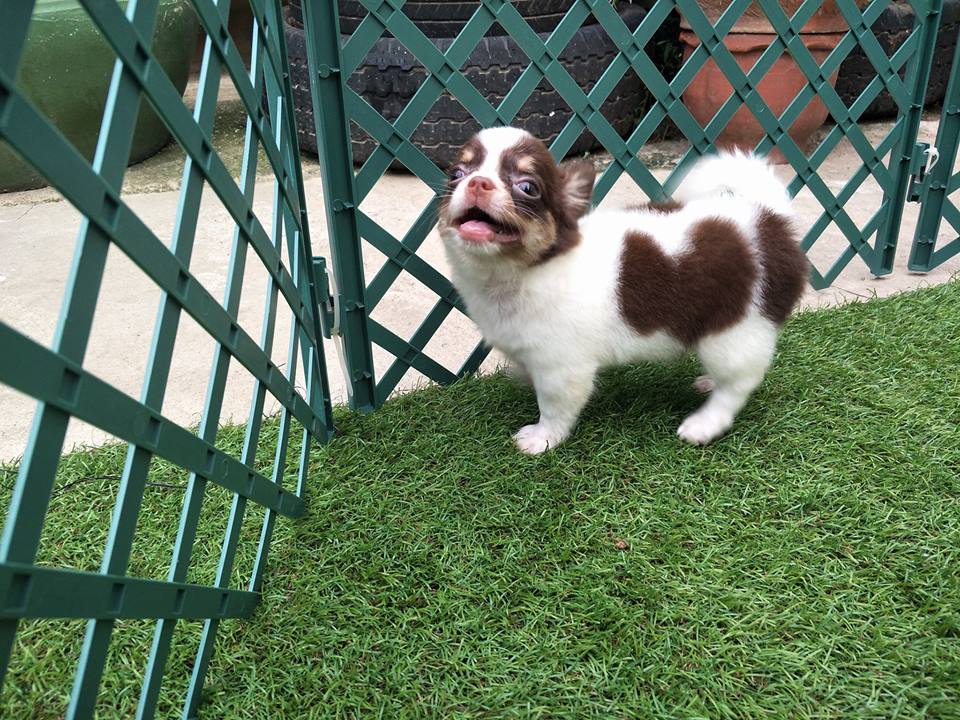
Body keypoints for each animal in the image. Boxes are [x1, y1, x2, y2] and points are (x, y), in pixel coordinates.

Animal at [438, 127, 808, 454]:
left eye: (528, 187)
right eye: (456, 174)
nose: (477, 182)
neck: (520, 274)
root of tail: (768, 220)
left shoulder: (563, 369)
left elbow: (555, 407)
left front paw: (543, 438)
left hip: (736, 330)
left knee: (739, 384)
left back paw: (704, 424)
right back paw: (708, 383)